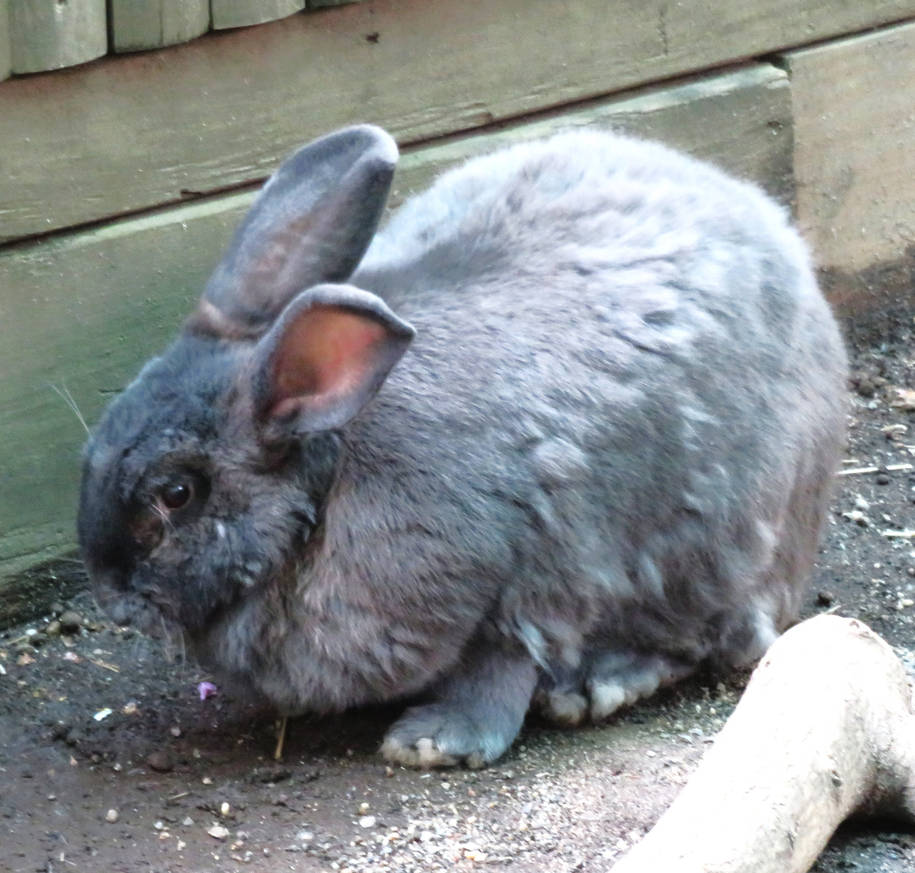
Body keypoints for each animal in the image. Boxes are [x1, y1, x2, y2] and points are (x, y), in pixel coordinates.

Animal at [77, 124, 848, 769]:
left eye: (177, 493)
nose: (112, 598)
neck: (325, 489)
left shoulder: (523, 579)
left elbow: (499, 667)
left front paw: (432, 743)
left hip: (715, 553)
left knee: (714, 639)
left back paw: (597, 684)